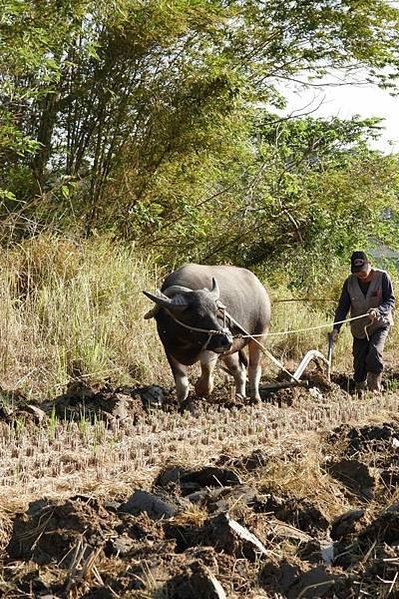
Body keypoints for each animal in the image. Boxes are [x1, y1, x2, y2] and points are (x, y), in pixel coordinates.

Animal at [144, 264, 272, 400]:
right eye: (198, 316)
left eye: (216, 312)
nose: (226, 339)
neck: (186, 341)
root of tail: (260, 287)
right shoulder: (170, 351)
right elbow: (182, 386)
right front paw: (183, 402)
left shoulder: (211, 350)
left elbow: (205, 378)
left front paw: (200, 389)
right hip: (231, 350)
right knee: (239, 370)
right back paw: (239, 396)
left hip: (260, 336)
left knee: (254, 368)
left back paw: (255, 399)